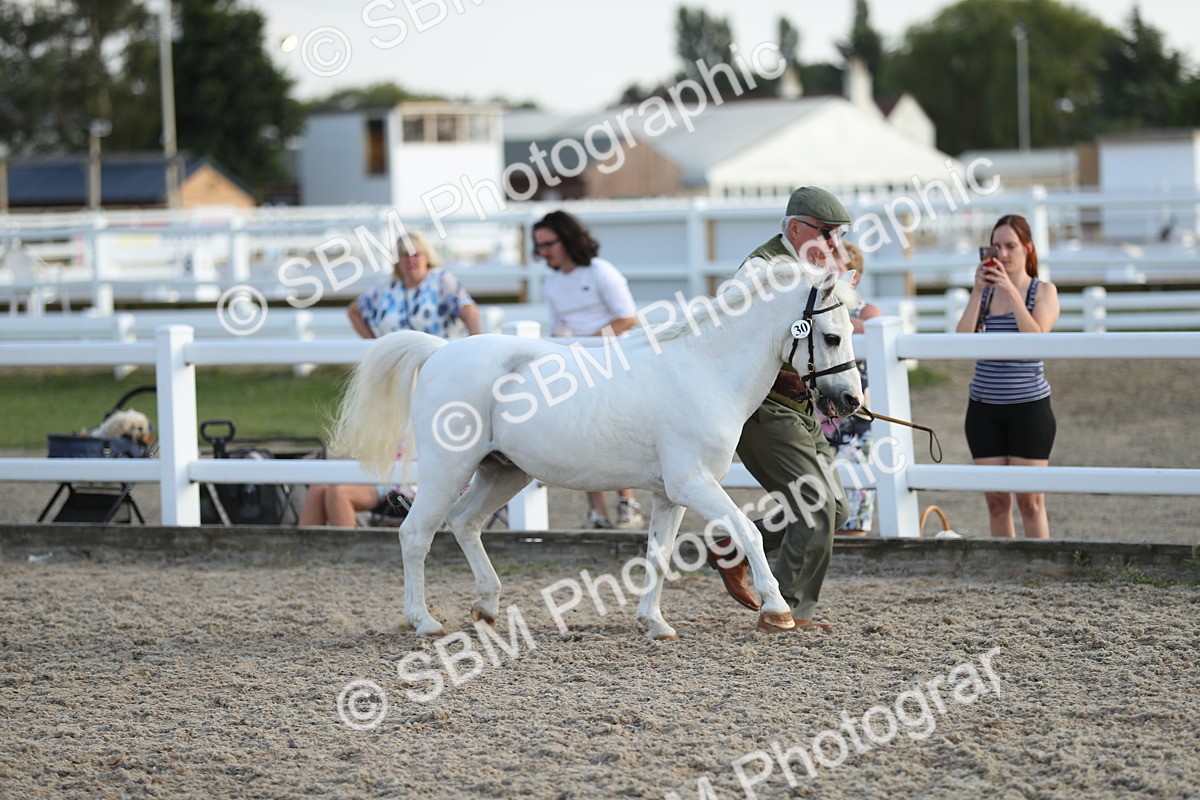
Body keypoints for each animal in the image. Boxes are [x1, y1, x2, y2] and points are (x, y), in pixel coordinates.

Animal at [332, 260, 864, 640]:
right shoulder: (694, 483)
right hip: (448, 467)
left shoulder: (670, 494)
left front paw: (655, 624)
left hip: (503, 471)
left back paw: (486, 607)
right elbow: (748, 533)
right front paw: (777, 611)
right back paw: (423, 621)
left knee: (464, 522)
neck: (705, 371)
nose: (851, 401)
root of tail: (440, 351)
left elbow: (659, 553)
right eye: (832, 335)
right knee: (415, 534)